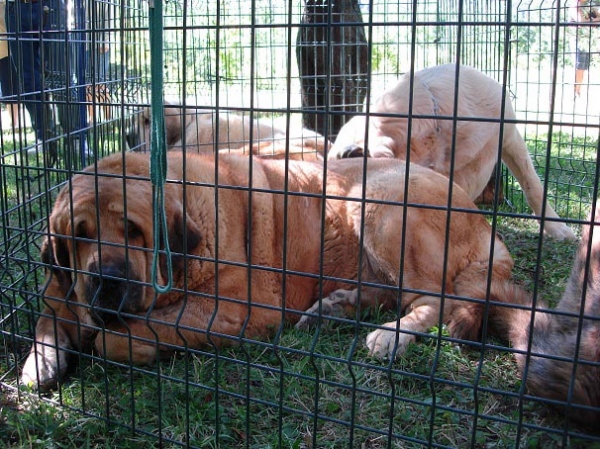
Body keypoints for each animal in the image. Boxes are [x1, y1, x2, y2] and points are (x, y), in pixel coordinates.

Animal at [21, 151, 528, 388]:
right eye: (78, 235)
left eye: (133, 230)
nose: (105, 280)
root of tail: (486, 226)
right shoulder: (59, 292)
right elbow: (48, 321)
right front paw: (38, 364)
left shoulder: (239, 309)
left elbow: (126, 335)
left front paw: (116, 341)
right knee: (393, 294)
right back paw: (336, 308)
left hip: (381, 203)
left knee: (434, 299)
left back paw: (390, 336)